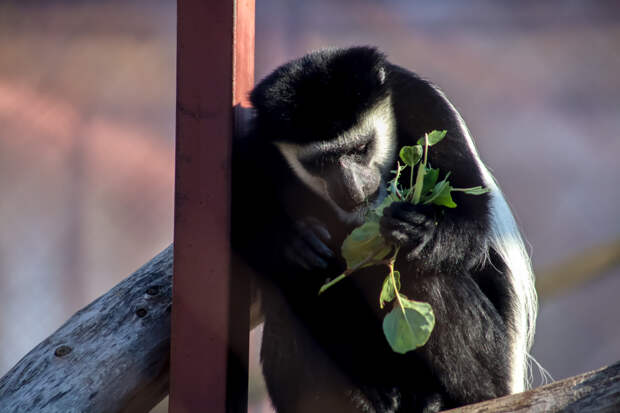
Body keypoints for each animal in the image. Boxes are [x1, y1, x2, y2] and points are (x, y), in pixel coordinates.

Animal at [232, 47, 536, 412]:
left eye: (361, 148)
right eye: (319, 163)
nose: (351, 188)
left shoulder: (426, 106)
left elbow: (469, 208)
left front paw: (419, 229)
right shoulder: (258, 143)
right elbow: (244, 221)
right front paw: (293, 240)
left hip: (495, 365)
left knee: (423, 271)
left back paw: (439, 400)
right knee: (293, 290)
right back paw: (367, 397)